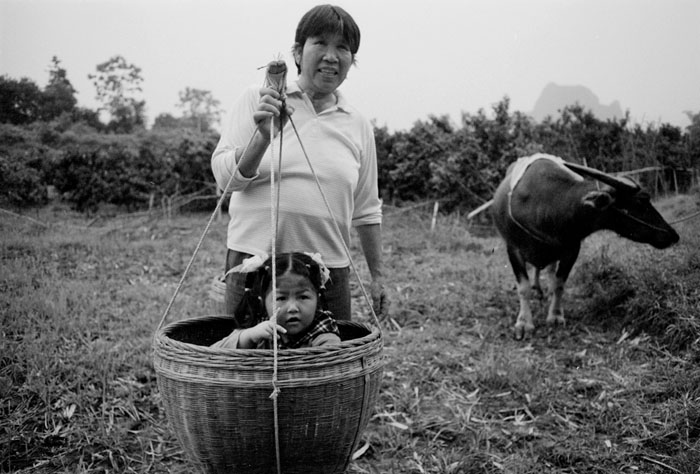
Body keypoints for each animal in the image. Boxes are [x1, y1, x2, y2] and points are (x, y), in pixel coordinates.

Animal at [492, 154, 680, 338]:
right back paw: (537, 289)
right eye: (641, 201)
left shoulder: (571, 250)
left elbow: (559, 283)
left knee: (549, 269)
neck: (545, 205)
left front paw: (555, 315)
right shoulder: (513, 249)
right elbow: (523, 288)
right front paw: (524, 323)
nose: (671, 234)